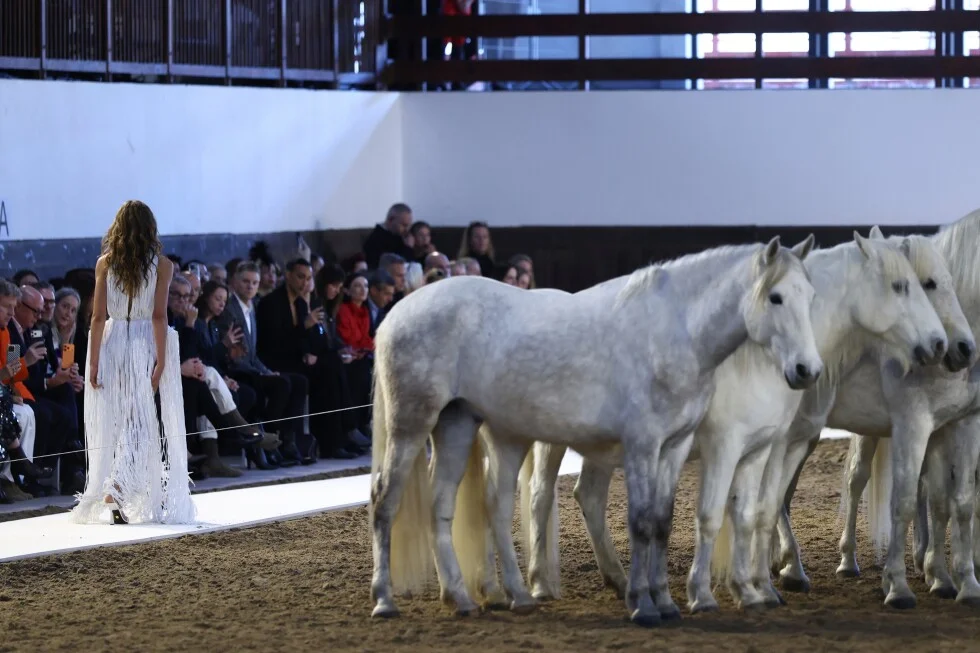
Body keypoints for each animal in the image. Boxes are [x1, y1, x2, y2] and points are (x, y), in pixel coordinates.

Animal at [368, 236, 824, 627]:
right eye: (775, 297)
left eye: (811, 297)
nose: (807, 370)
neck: (674, 334)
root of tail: (396, 313)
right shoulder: (645, 445)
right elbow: (641, 522)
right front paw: (643, 605)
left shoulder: (674, 448)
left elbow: (663, 521)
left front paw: (666, 601)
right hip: (412, 424)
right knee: (385, 500)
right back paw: (385, 600)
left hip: (461, 425)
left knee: (452, 505)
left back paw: (476, 598)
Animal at [516, 230, 952, 614]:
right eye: (901, 286)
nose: (938, 345)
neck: (761, 358)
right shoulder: (733, 445)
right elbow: (739, 512)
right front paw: (736, 586)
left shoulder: (778, 445)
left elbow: (759, 511)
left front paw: (760, 587)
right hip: (554, 442)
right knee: (540, 498)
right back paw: (537, 584)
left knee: (588, 495)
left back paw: (619, 580)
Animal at [770, 215, 980, 609]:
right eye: (927, 283)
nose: (962, 349)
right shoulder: (915, 424)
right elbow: (907, 500)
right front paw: (899, 586)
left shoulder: (958, 424)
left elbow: (955, 501)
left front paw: (960, 582)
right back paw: (800, 568)